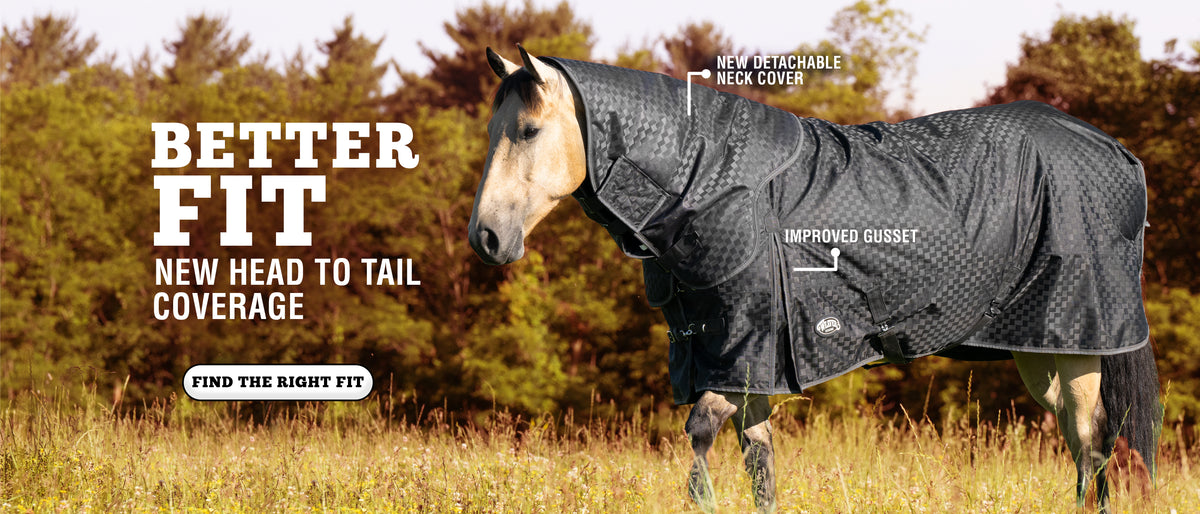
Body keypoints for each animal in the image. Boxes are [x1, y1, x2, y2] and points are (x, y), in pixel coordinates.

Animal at [467, 45, 1160, 513]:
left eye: (528, 130)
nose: (487, 238)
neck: (720, 186)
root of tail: (1115, 151)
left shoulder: (747, 352)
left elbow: (700, 441)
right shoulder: (741, 363)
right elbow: (759, 465)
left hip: (1078, 342)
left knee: (1093, 441)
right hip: (1041, 351)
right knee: (1079, 442)